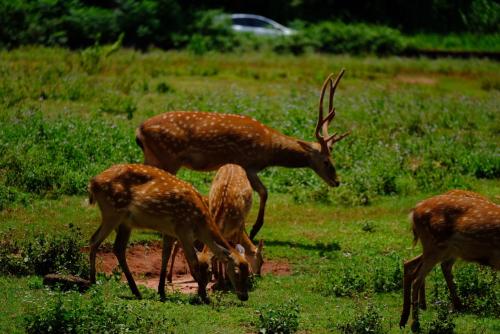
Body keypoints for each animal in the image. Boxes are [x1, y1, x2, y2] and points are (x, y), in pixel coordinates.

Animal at [89, 163, 250, 302]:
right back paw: (93, 282)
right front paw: (203, 296)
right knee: (95, 240)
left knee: (117, 248)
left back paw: (135, 291)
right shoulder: (183, 229)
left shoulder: (170, 231)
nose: (244, 296)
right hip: (113, 211)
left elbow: (165, 256)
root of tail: (92, 183)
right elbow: (193, 261)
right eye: (236, 271)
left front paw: (162, 291)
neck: (200, 222)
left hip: (125, 222)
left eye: (248, 271)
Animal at [135, 70, 350, 239]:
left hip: (154, 156)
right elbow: (264, 191)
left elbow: (263, 191)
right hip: (168, 156)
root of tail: (139, 130)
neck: (270, 148)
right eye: (326, 161)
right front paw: (254, 230)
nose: (337, 181)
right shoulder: (248, 163)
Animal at [400, 189, 500, 330]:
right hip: (435, 246)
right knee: (417, 278)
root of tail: (415, 210)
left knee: (411, 265)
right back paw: (416, 324)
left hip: (445, 250)